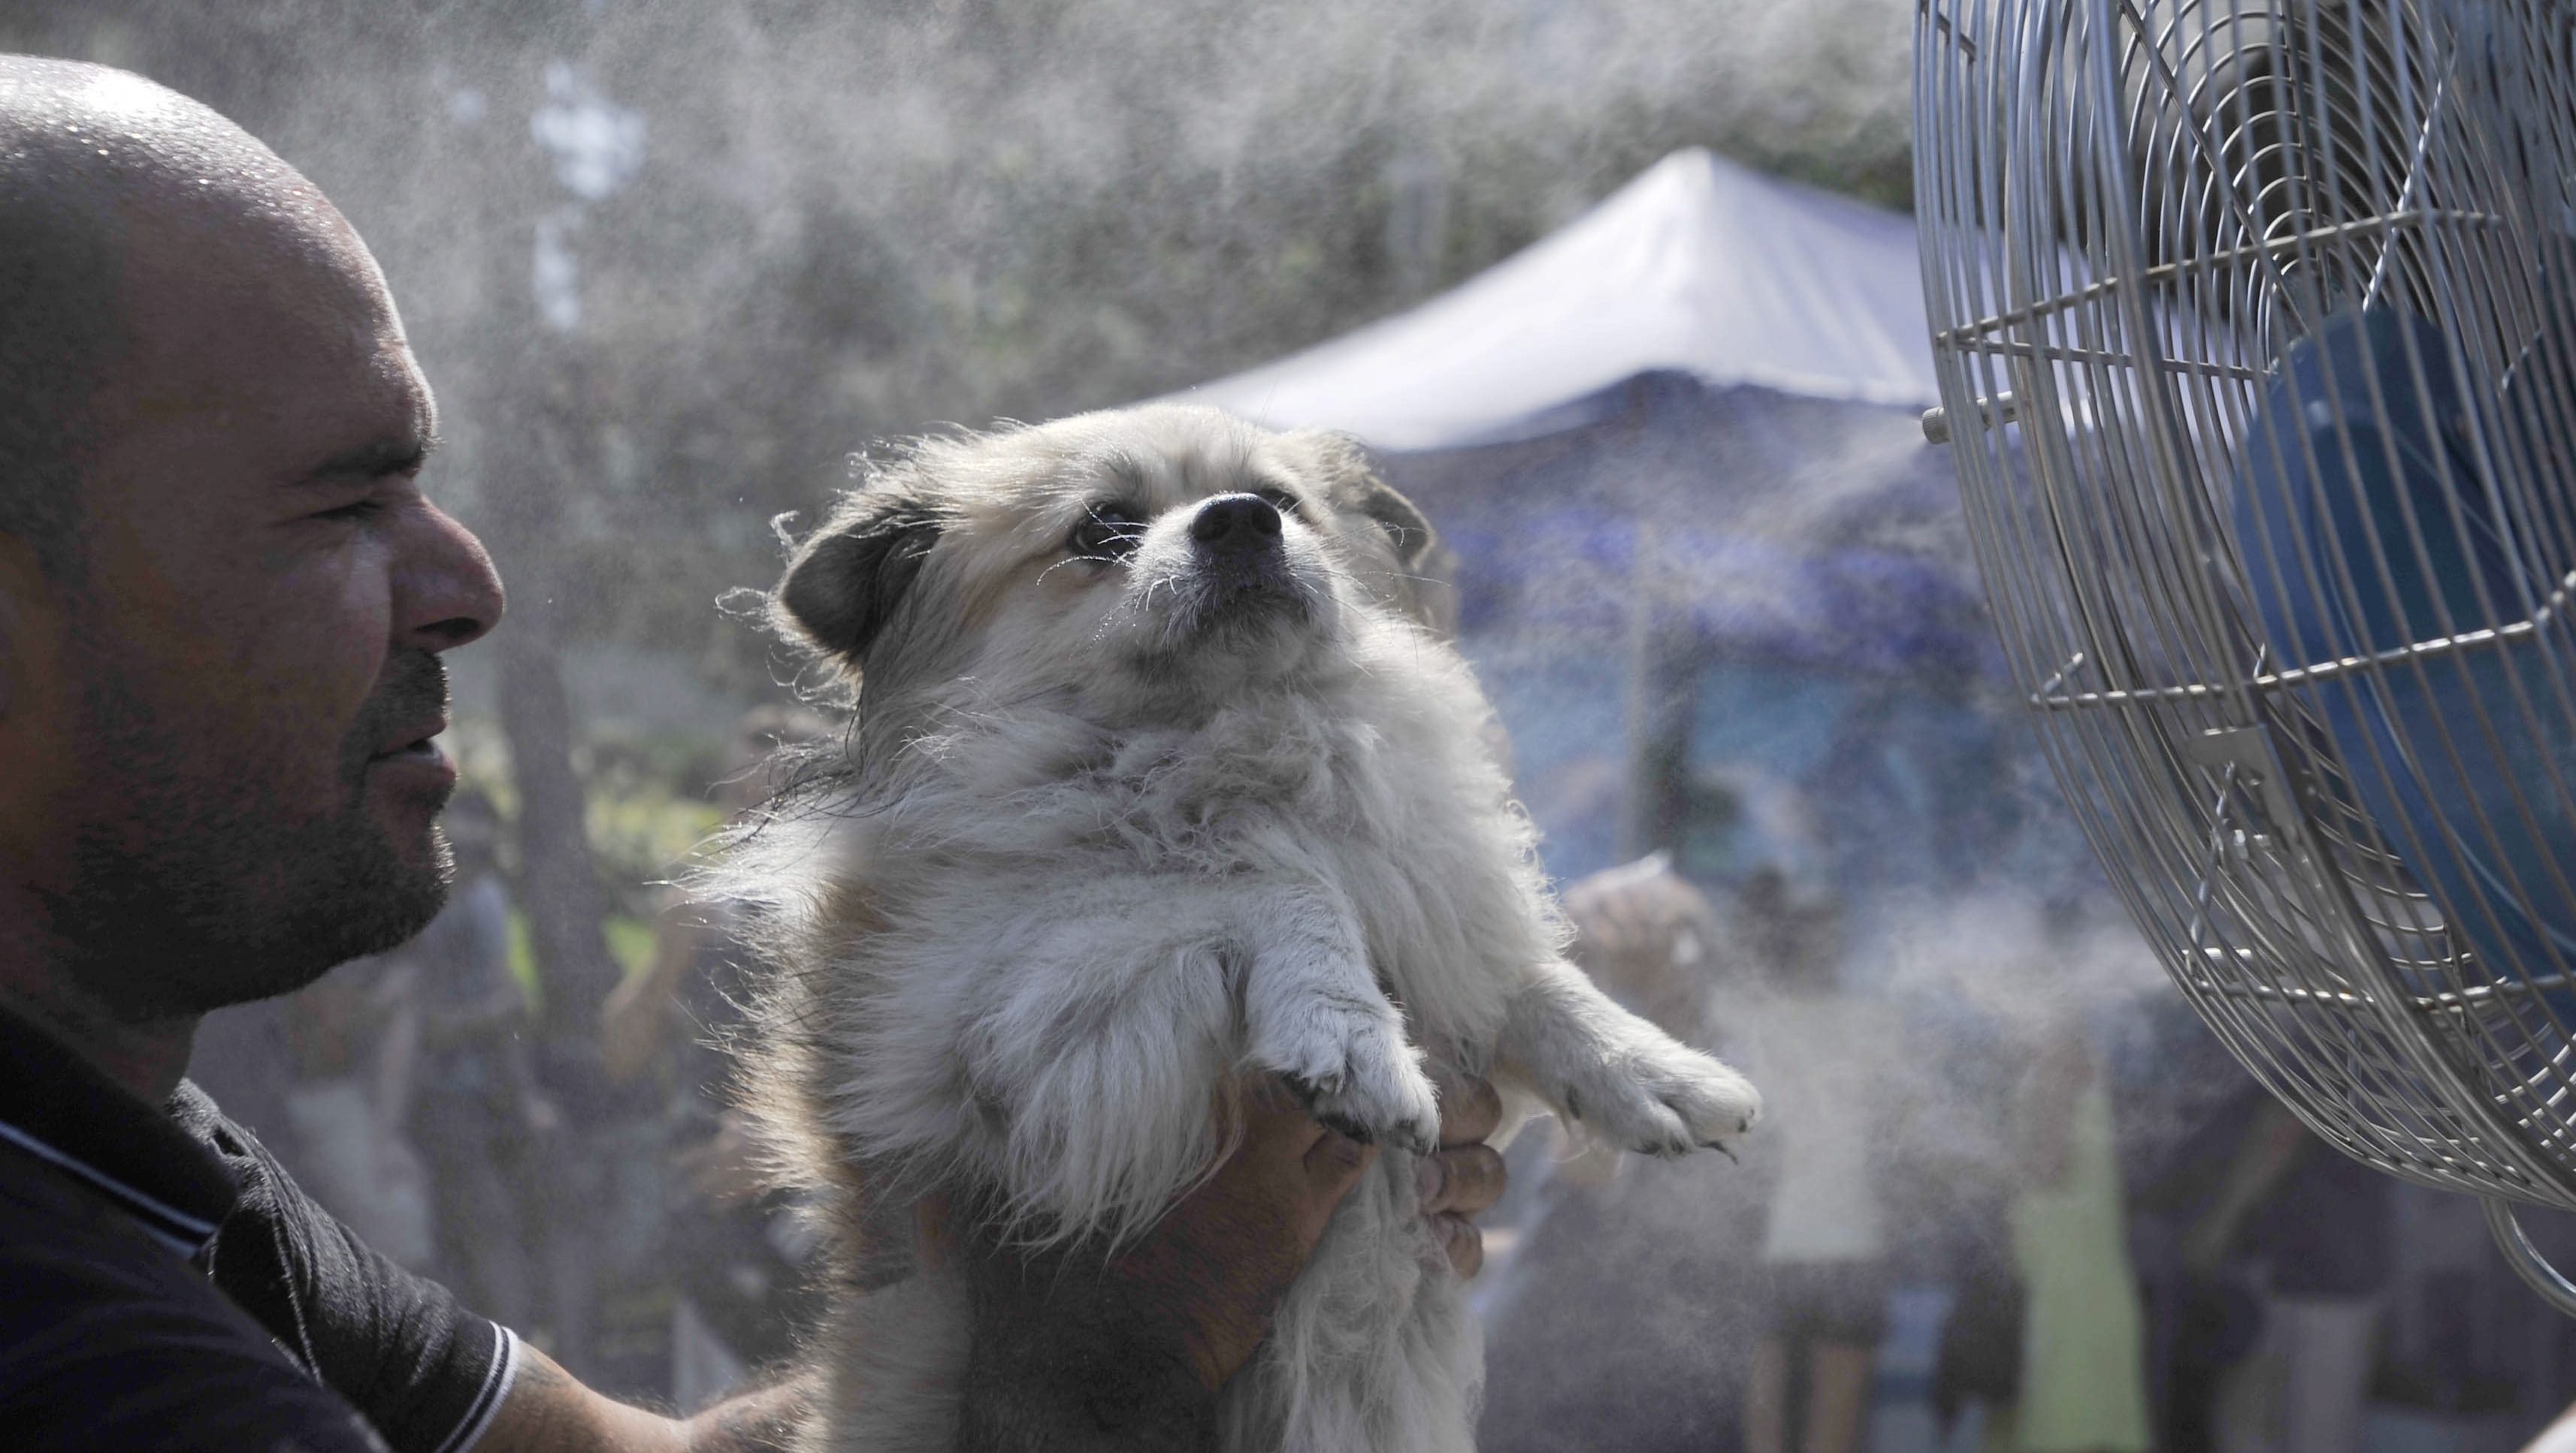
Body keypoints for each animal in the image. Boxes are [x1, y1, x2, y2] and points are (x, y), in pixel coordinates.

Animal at [726, 399, 1761, 1453]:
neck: (1227, 735)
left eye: (1279, 501)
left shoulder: (1428, 905)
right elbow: (1249, 878)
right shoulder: (989, 999)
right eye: (1101, 529)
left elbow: (1520, 976)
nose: (1237, 521)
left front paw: (1651, 1069)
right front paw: (1348, 1032)